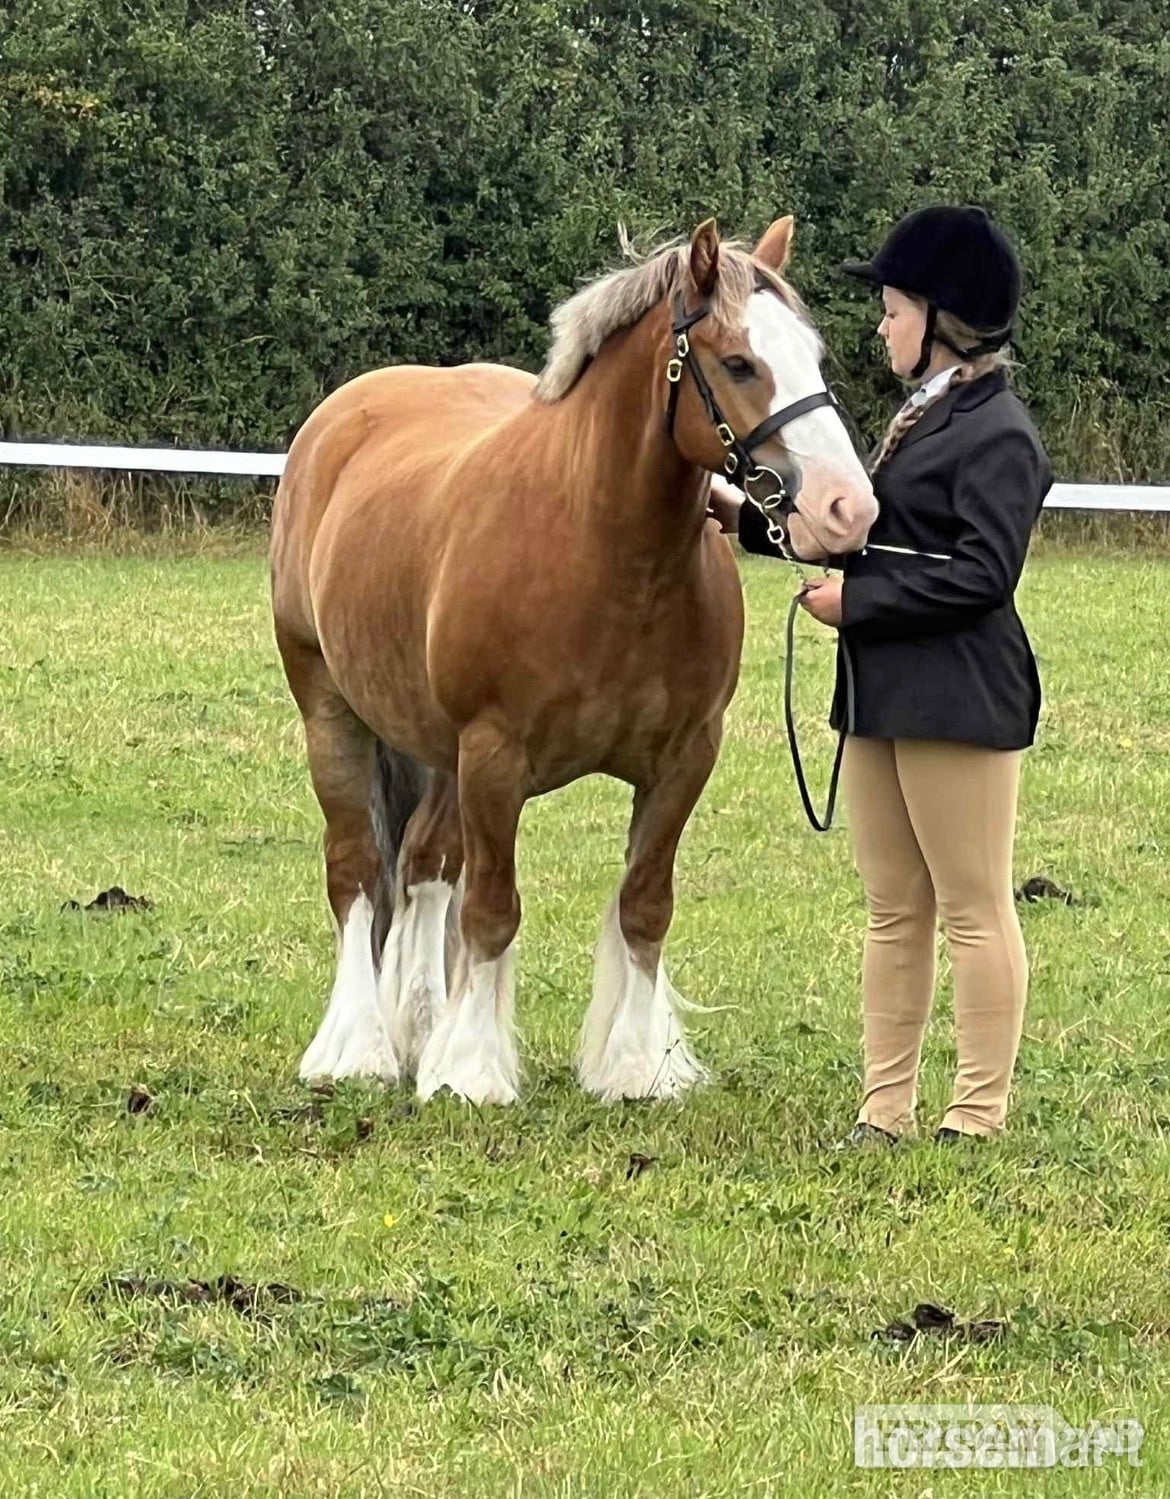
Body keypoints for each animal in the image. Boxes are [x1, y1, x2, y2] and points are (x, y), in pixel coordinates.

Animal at [268, 214, 877, 1106]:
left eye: (815, 354)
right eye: (739, 362)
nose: (847, 509)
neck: (603, 553)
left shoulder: (683, 760)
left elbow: (643, 906)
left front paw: (634, 1066)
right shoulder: (494, 759)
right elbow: (492, 909)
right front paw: (473, 1071)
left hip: (435, 747)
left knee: (422, 865)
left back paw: (420, 1029)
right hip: (332, 713)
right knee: (357, 870)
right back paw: (358, 1049)